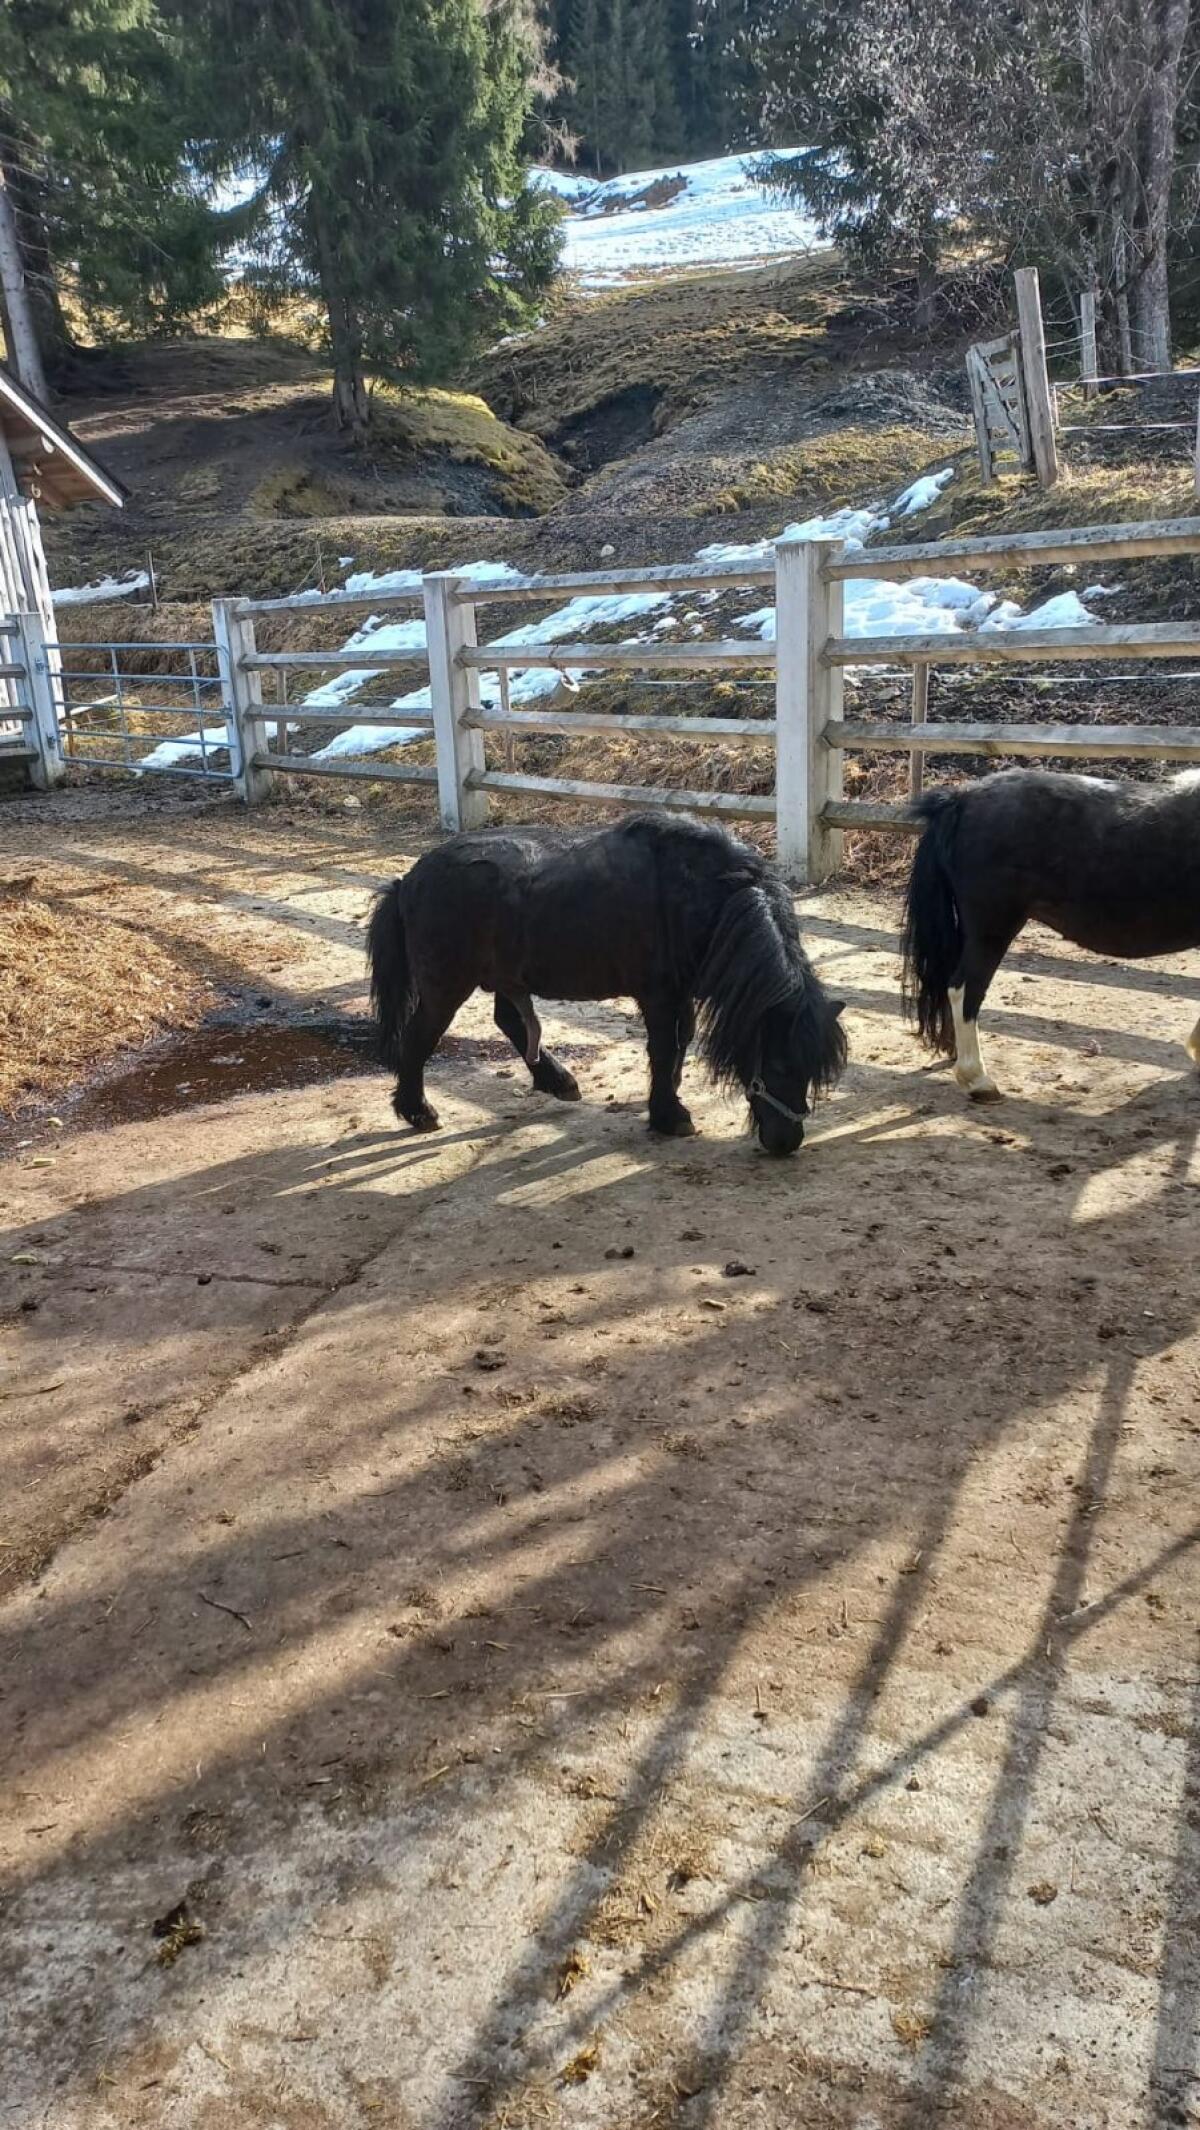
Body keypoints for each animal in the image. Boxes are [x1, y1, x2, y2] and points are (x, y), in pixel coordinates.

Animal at [367, 811, 847, 1155]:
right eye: (780, 1065)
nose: (786, 1142)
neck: (705, 894)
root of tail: (408, 881)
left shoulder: (681, 993)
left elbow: (680, 1046)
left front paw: (667, 1101)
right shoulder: (659, 996)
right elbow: (664, 1048)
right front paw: (668, 1115)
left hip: (505, 977)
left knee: (509, 1022)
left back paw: (557, 1081)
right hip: (446, 988)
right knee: (419, 1037)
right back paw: (417, 1111)